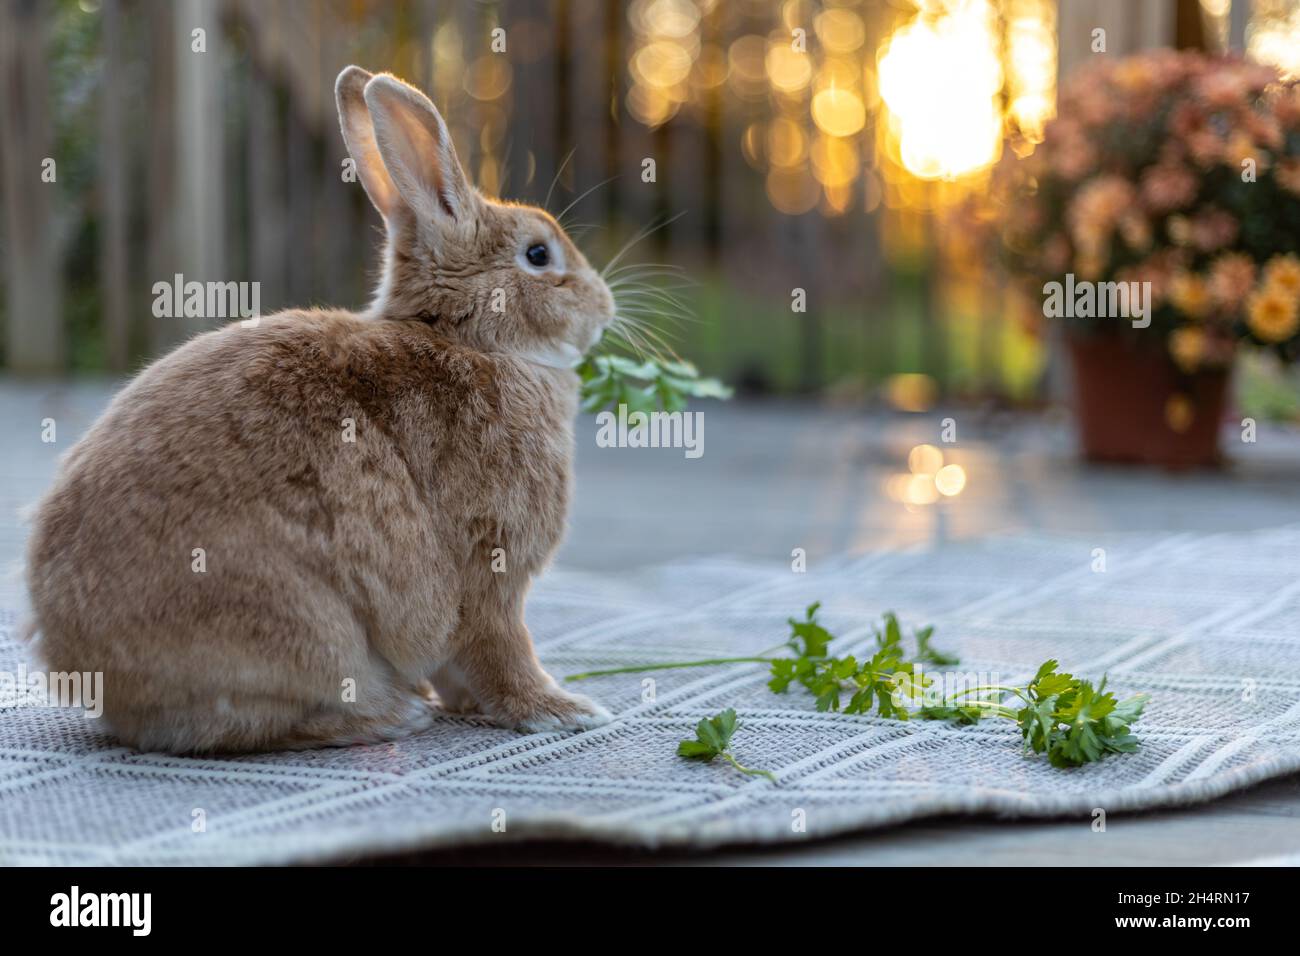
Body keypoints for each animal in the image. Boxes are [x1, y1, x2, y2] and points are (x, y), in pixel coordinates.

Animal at [25, 67, 613, 754]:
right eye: (539, 255)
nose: (604, 307)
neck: (471, 340)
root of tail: (85, 669)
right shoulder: (491, 574)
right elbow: (502, 653)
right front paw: (565, 710)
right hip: (305, 627)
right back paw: (394, 716)